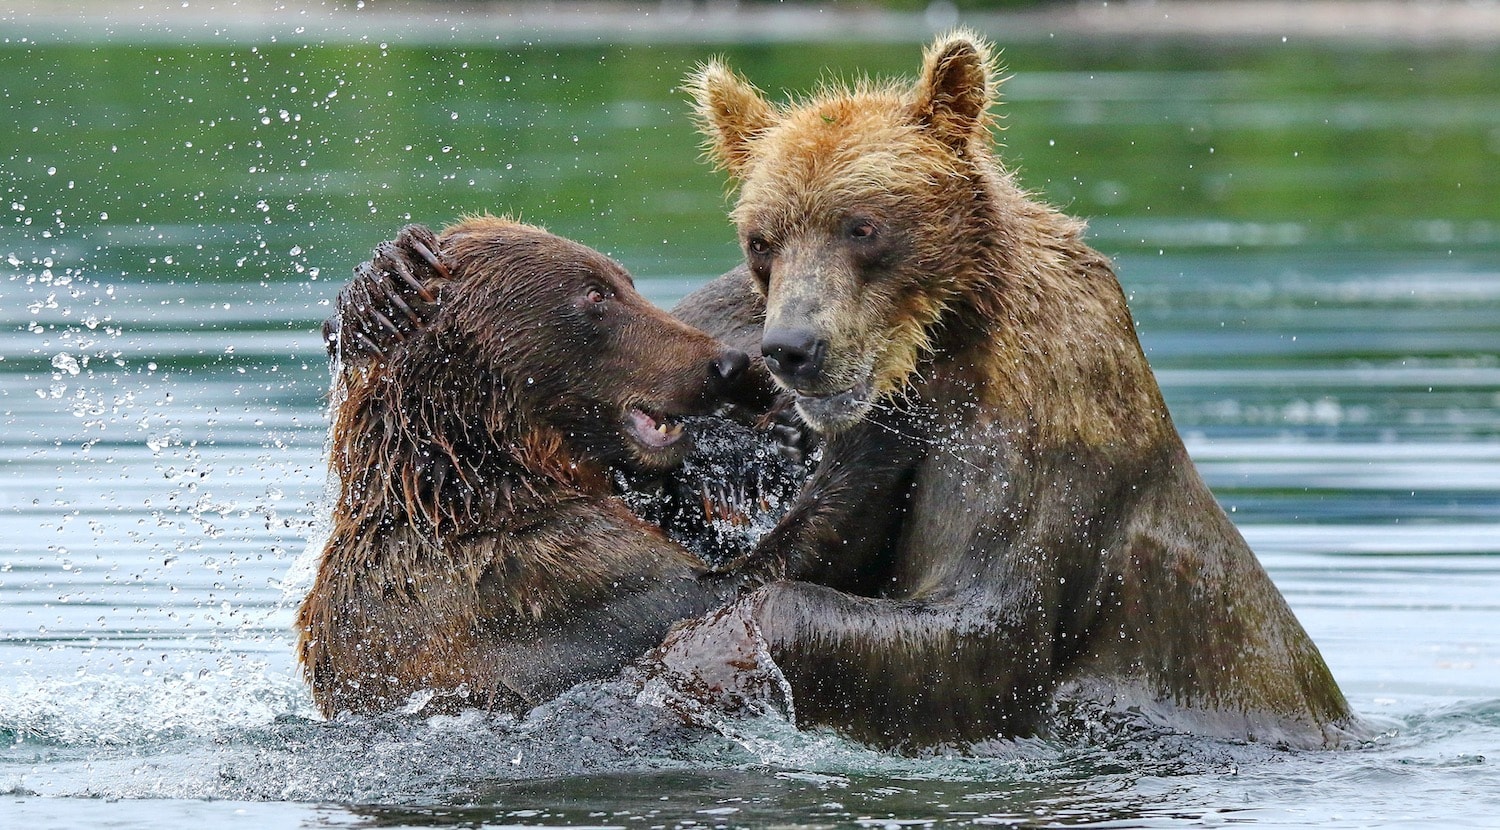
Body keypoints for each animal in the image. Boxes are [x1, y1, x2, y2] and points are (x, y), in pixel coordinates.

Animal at [651, 32, 1368, 747]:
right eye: (761, 240)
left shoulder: (1036, 428)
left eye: (862, 226)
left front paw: (701, 655)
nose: (793, 349)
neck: (950, 341)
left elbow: (987, 633)